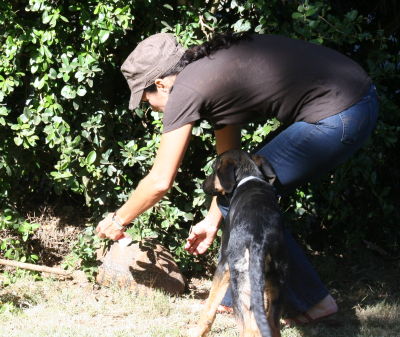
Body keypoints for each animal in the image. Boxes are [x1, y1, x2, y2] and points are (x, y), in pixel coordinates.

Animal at [189, 149, 286, 336]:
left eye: (214, 169)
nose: (202, 184)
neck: (248, 177)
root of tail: (260, 241)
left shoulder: (223, 265)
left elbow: (210, 305)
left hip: (240, 286)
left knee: (250, 328)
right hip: (276, 283)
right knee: (272, 324)